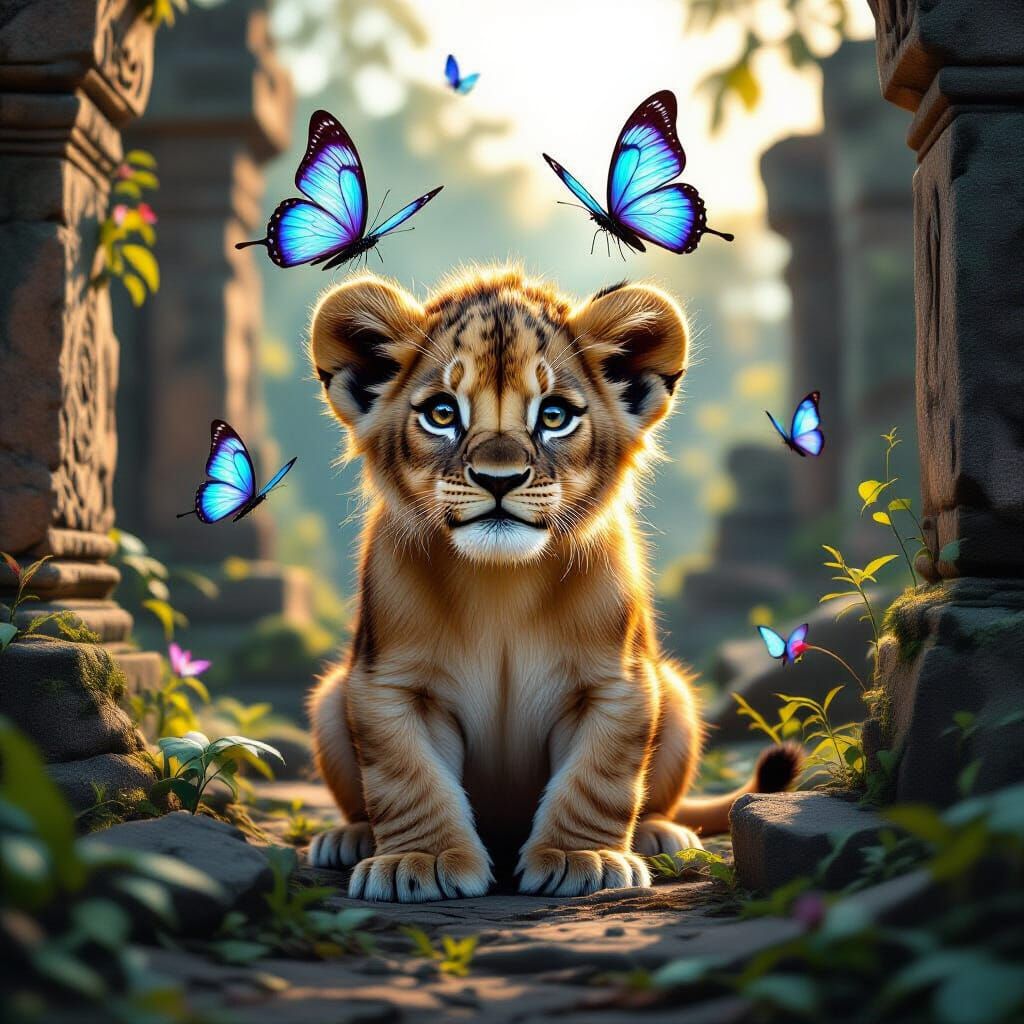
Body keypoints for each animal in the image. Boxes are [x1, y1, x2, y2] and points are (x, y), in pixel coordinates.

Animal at [306, 267, 799, 902]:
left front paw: (581, 857)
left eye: (555, 416)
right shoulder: (390, 685)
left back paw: (659, 835)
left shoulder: (616, 685)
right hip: (329, 697)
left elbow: (597, 780)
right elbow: (407, 779)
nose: (499, 479)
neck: (500, 585)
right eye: (441, 413)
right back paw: (350, 838)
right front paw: (419, 860)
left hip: (678, 696)